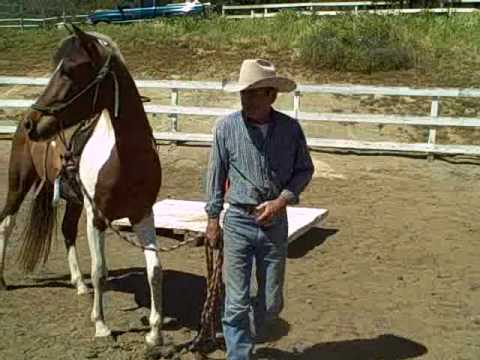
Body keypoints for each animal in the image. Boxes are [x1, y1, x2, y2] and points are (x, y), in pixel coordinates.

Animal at [0, 26, 163, 346]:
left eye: (70, 71)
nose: (32, 124)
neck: (125, 157)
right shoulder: (96, 217)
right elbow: (100, 270)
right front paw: (101, 325)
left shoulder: (143, 214)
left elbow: (154, 270)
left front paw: (154, 332)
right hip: (19, 184)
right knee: (6, 224)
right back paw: (2, 281)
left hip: (74, 200)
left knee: (65, 230)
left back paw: (78, 283)